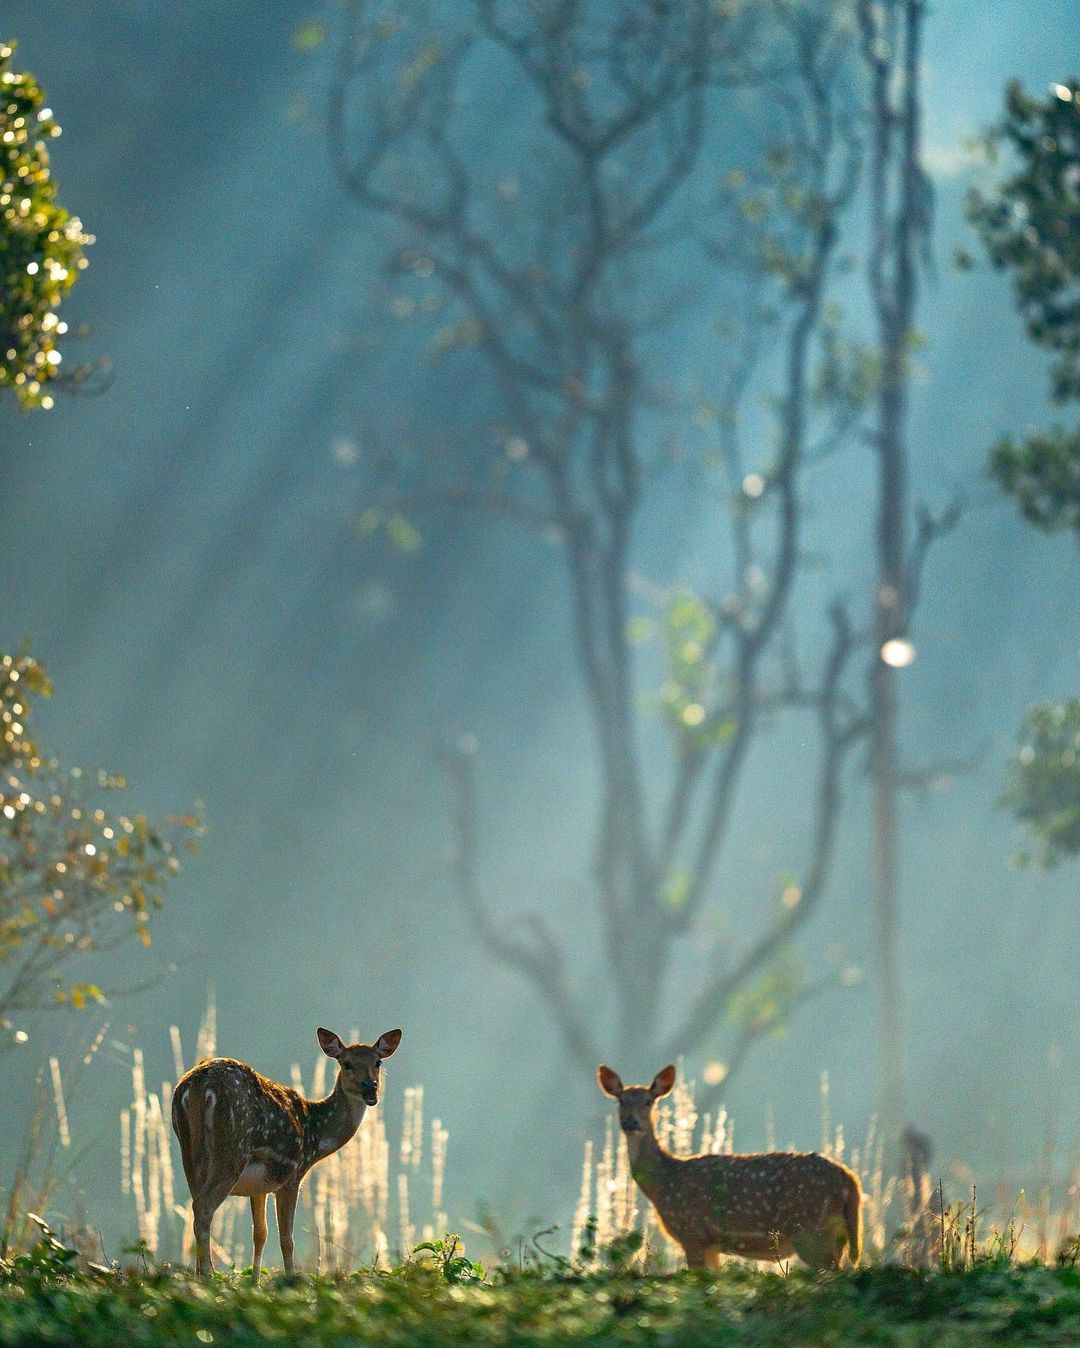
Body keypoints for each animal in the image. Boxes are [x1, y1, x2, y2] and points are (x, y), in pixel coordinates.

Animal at [172, 1024, 399, 1277]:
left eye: (378, 1062)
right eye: (346, 1063)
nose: (370, 1087)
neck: (316, 1133)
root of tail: (197, 1087)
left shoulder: (259, 1185)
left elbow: (260, 1233)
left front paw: (255, 1281)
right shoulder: (293, 1174)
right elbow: (286, 1239)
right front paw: (291, 1278)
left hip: (190, 1154)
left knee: (194, 1207)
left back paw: (197, 1276)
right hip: (232, 1150)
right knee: (203, 1207)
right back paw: (208, 1275)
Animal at [593, 1062, 862, 1272]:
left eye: (649, 1101)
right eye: (621, 1101)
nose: (631, 1122)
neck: (663, 1184)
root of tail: (851, 1181)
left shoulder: (691, 1232)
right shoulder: (710, 1243)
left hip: (812, 1231)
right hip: (835, 1234)